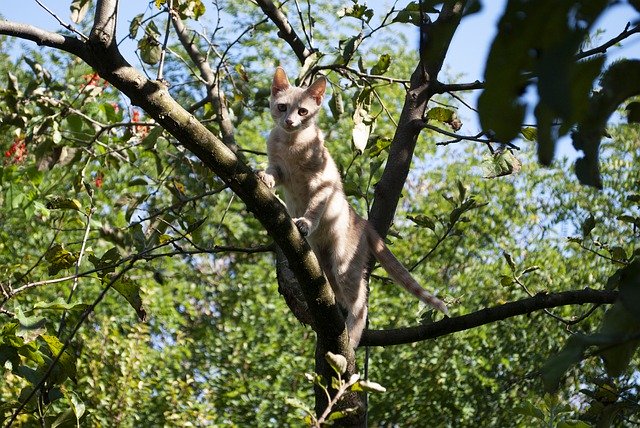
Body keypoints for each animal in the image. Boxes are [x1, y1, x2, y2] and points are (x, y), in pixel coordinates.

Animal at [258, 67, 448, 348]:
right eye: (282, 107)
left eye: (302, 111)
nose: (290, 121)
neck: (292, 144)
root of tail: (363, 221)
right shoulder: (280, 167)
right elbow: (273, 172)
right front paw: (264, 179)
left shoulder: (322, 182)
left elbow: (314, 207)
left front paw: (305, 222)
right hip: (326, 265)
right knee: (343, 297)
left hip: (344, 263)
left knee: (361, 305)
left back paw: (352, 338)